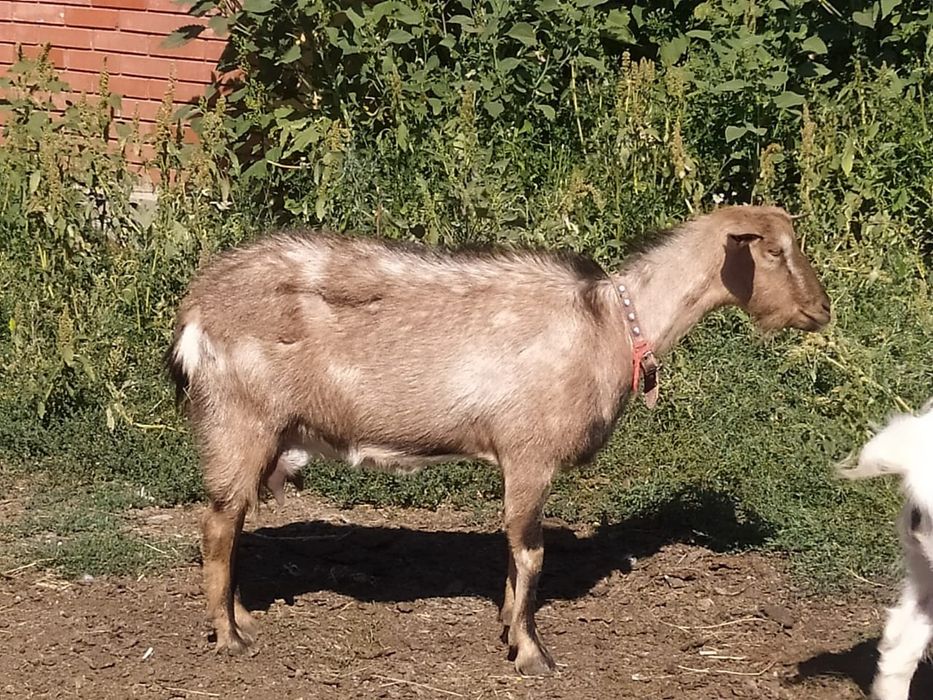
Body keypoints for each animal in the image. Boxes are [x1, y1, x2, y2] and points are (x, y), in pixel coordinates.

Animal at [166, 205, 831, 675]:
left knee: (231, 523)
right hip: (240, 419)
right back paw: (229, 637)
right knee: (217, 524)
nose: (821, 310)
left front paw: (512, 628)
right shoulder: (531, 452)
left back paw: (240, 618)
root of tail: (196, 308)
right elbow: (532, 552)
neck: (611, 324)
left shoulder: (520, 461)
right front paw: (534, 653)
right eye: (775, 250)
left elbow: (516, 550)